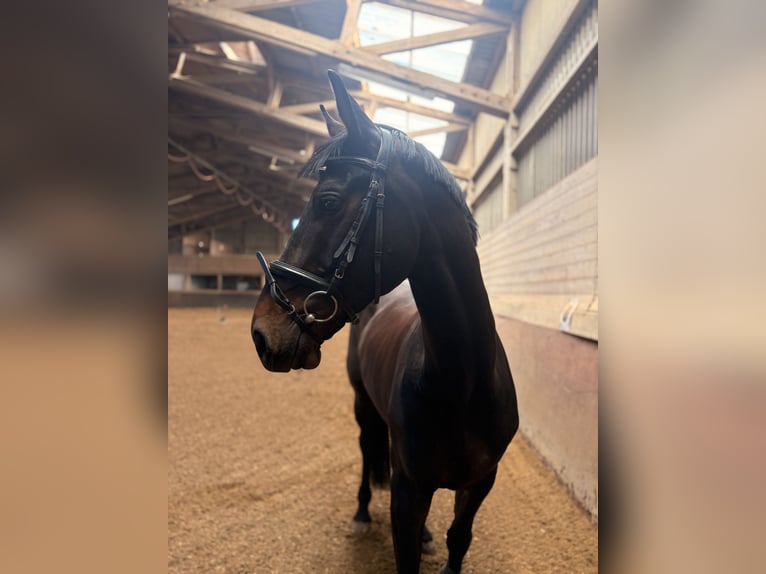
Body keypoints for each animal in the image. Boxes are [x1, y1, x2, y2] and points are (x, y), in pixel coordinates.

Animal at [251, 70, 519, 574]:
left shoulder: (481, 482)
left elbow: (458, 539)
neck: (463, 384)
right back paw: (360, 514)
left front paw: (439, 541)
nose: (260, 332)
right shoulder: (408, 491)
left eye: (329, 202)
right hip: (363, 406)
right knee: (364, 449)